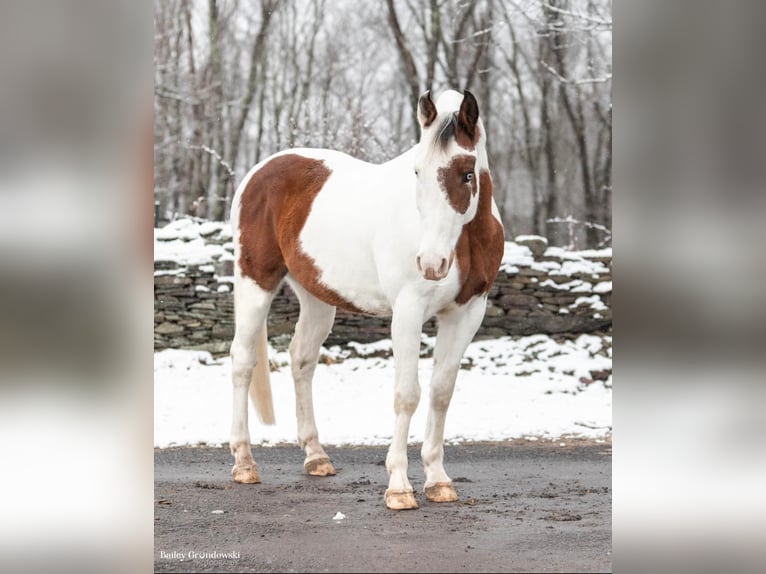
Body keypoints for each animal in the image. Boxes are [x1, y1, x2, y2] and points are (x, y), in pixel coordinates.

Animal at [228, 90, 504, 512]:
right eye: (417, 172)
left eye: (467, 173)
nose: (431, 263)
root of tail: (258, 172)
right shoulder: (408, 313)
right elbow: (407, 395)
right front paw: (399, 487)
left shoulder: (467, 313)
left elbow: (441, 393)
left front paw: (438, 480)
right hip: (255, 281)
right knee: (243, 361)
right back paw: (244, 462)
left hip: (316, 297)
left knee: (301, 360)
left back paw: (316, 456)